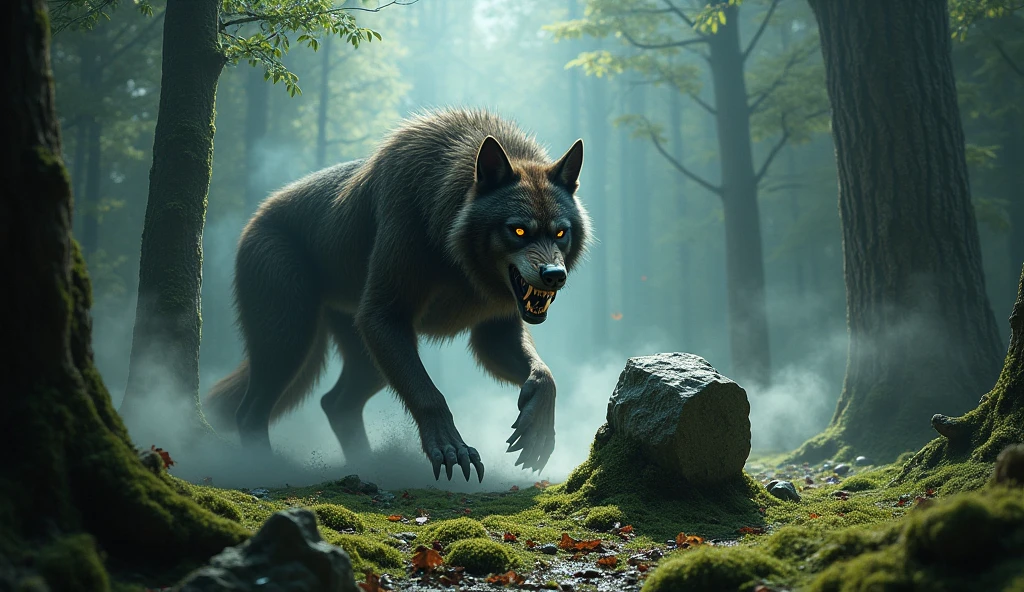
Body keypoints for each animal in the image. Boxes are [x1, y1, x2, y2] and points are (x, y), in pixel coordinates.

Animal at [205, 108, 590, 482]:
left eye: (560, 233)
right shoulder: (384, 316)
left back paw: (368, 467)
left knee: (335, 403)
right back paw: (264, 468)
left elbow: (546, 376)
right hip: (292, 339)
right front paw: (451, 447)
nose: (554, 275)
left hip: (366, 354)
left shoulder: (495, 334)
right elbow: (430, 394)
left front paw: (538, 429)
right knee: (249, 412)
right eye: (519, 230)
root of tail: (257, 215)